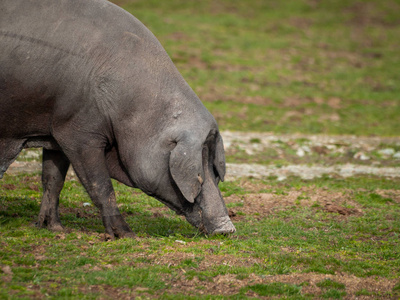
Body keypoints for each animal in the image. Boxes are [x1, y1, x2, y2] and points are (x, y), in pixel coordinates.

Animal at [0, 0, 236, 239]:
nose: (227, 228)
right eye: (198, 173)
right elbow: (100, 185)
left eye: (216, 171)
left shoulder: (55, 131)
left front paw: (54, 228)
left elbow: (53, 179)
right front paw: (126, 235)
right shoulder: (78, 132)